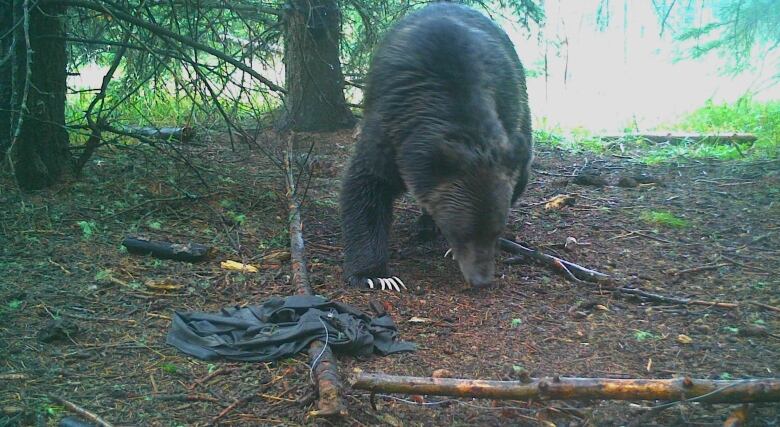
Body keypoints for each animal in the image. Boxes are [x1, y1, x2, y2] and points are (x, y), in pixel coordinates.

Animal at [338, 2, 532, 290]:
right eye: (462, 232)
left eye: (496, 232)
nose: (482, 280)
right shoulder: (390, 130)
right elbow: (367, 184)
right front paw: (375, 275)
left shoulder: (507, 110)